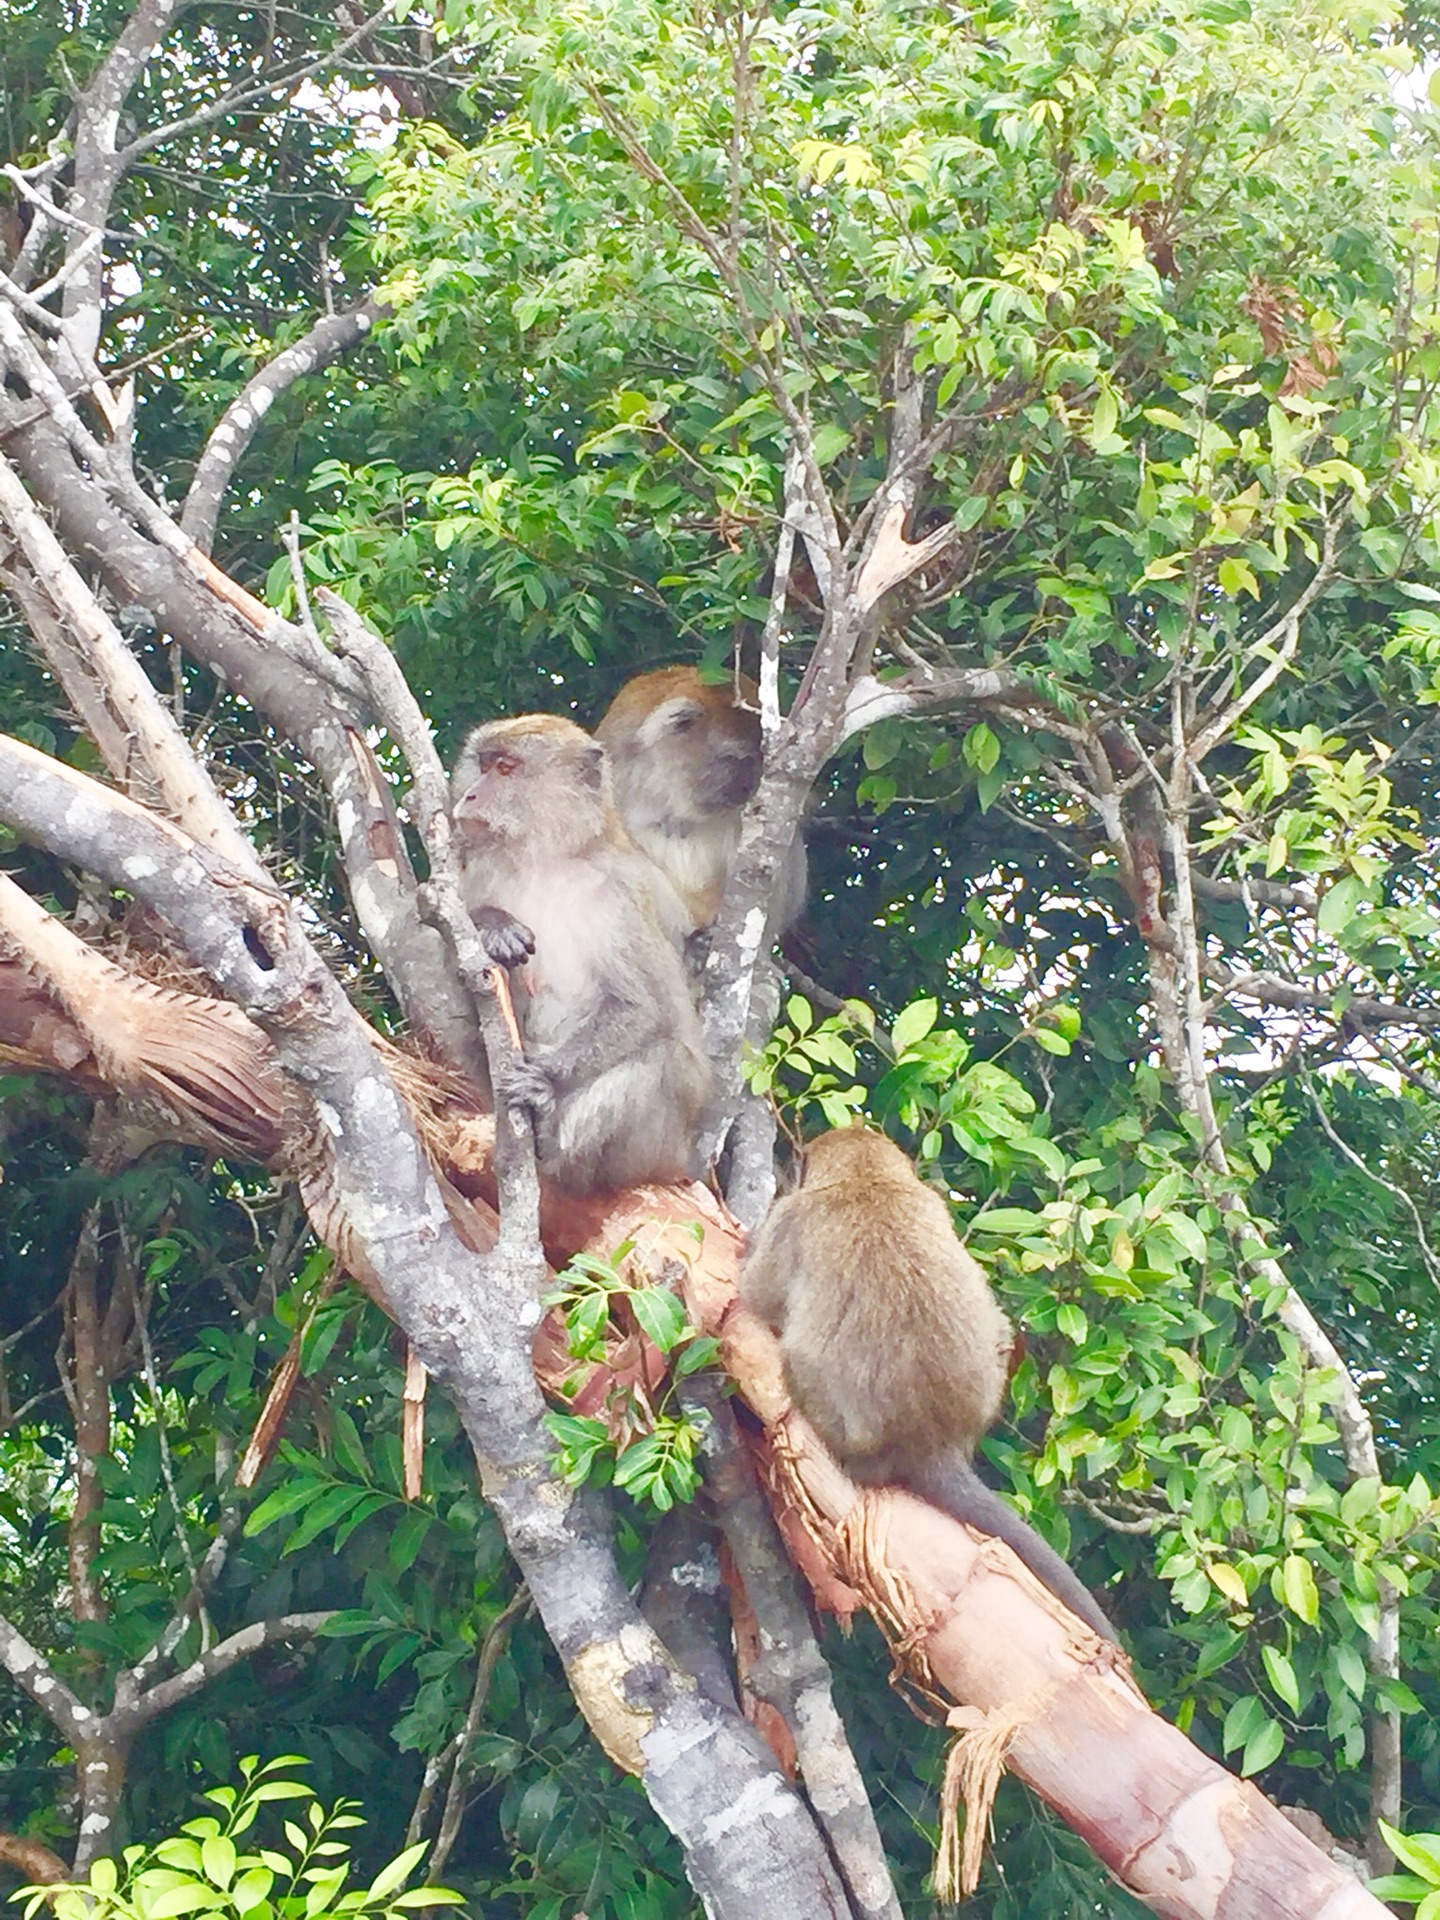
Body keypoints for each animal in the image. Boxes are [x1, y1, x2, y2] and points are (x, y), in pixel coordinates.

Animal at [453, 714, 714, 1190]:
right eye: (483, 764)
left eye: (505, 768)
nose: (469, 795)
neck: (548, 862)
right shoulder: (485, 867)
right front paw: (493, 926)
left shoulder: (621, 891)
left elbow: (642, 1007)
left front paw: (544, 1076)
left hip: (653, 1154)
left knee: (666, 1062)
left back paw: (553, 1142)